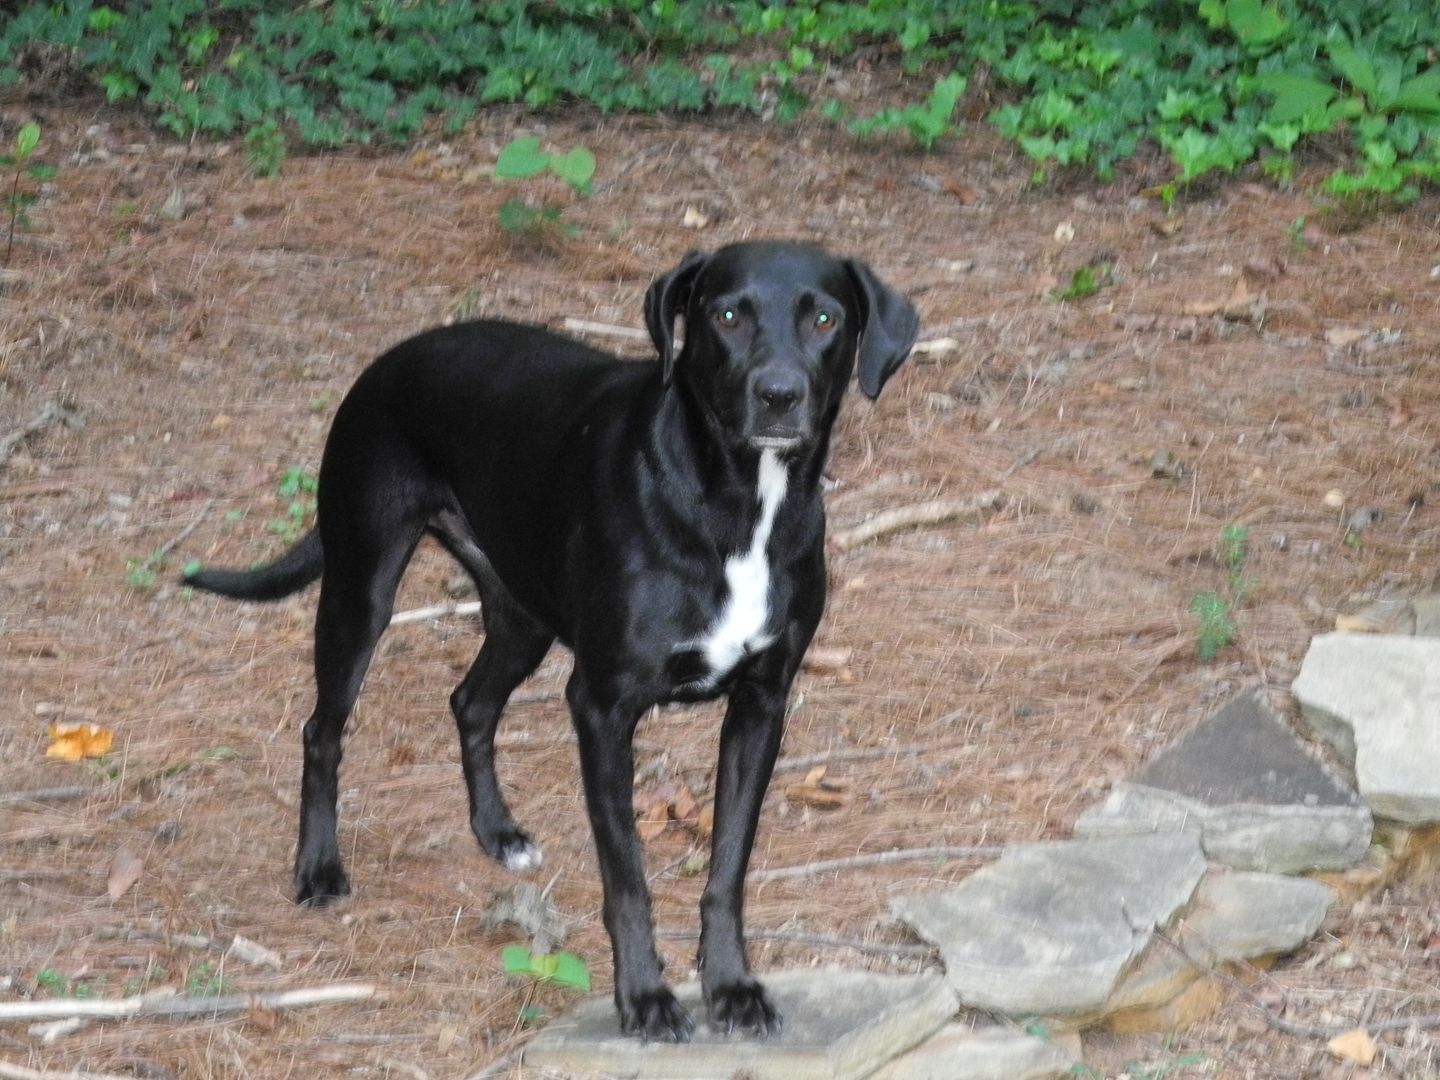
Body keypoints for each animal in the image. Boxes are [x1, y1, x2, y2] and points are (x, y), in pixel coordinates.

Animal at [185, 243, 915, 1042]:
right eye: (726, 314)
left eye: (825, 319)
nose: (778, 395)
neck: (738, 504)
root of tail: (391, 358)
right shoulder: (602, 706)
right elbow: (627, 878)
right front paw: (645, 998)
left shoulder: (761, 705)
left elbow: (728, 869)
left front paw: (730, 986)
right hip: (361, 588)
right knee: (323, 729)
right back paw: (318, 868)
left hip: (521, 616)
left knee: (470, 702)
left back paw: (497, 832)